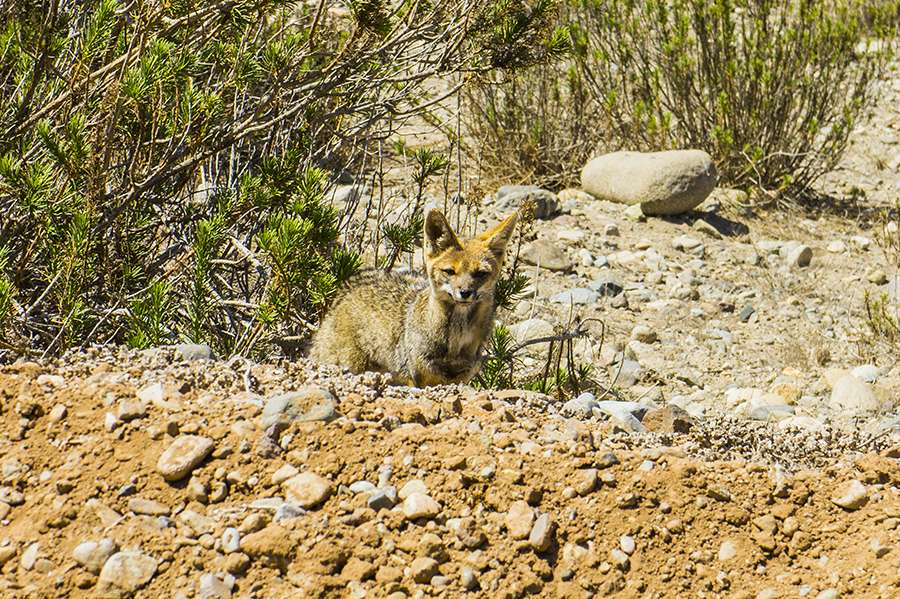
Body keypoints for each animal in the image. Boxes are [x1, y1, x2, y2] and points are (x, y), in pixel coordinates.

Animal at [312, 210, 516, 390]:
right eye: (450, 271)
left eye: (481, 273)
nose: (465, 292)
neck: (456, 339)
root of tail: (346, 286)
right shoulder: (421, 375)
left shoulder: (461, 375)